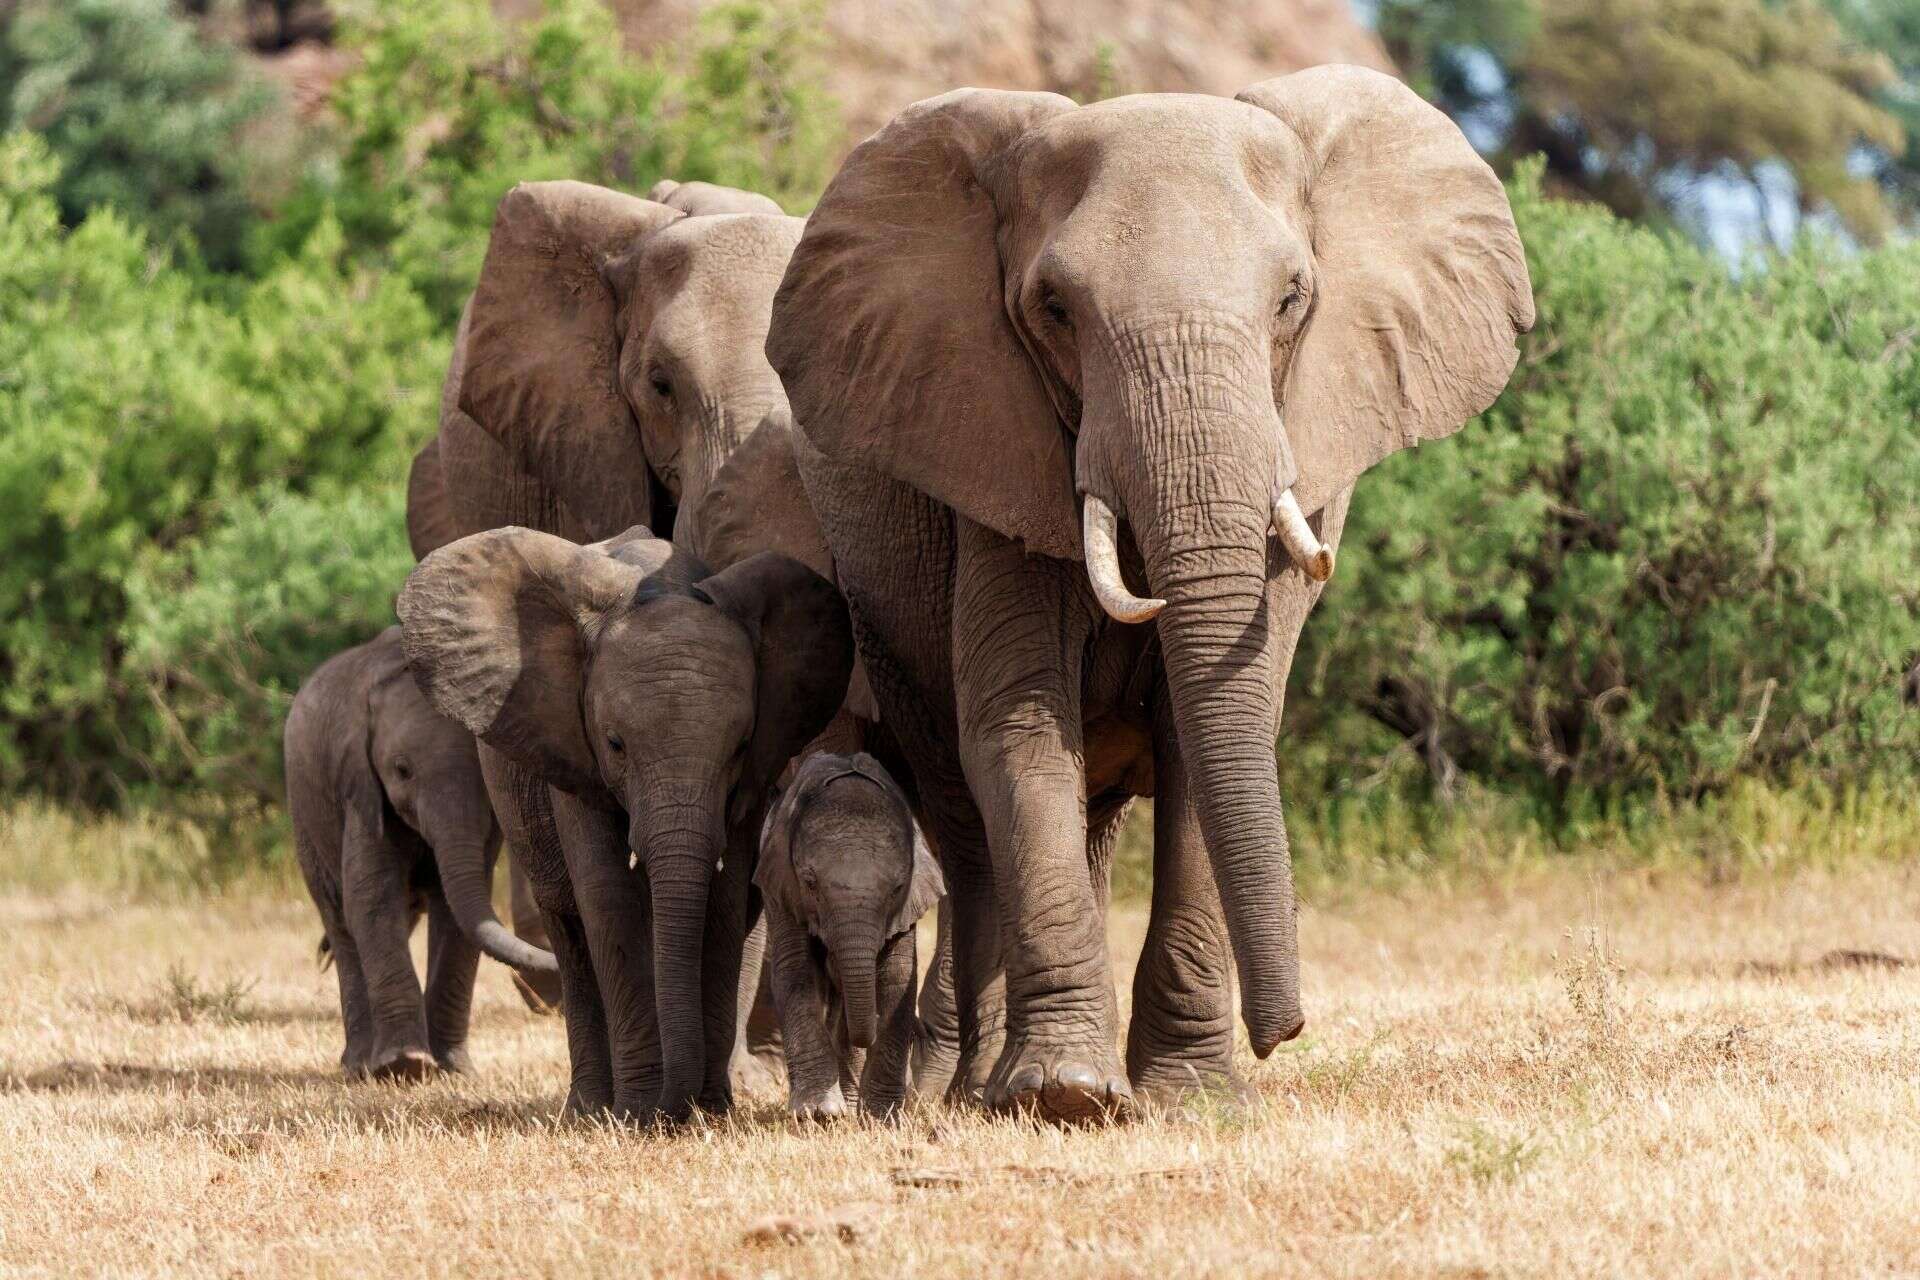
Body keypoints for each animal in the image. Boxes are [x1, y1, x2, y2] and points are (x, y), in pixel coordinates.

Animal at [282, 629, 556, 1082]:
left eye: (484, 772)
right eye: (401, 770)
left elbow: (457, 912)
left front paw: (453, 1069)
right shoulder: (359, 787)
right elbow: (372, 899)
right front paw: (405, 1066)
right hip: (305, 813)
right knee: (339, 919)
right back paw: (358, 1066)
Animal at [395, 521, 848, 1120]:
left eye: (739, 747)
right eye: (614, 743)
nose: (676, 1108)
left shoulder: (755, 776)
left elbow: (725, 902)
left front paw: (707, 1111)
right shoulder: (572, 747)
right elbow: (607, 896)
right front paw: (638, 1114)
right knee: (567, 923)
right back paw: (589, 1108)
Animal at [752, 756, 940, 1113]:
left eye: (897, 888)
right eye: (810, 883)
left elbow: (897, 976)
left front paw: (882, 1116)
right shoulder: (781, 886)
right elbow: (795, 969)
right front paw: (818, 1114)